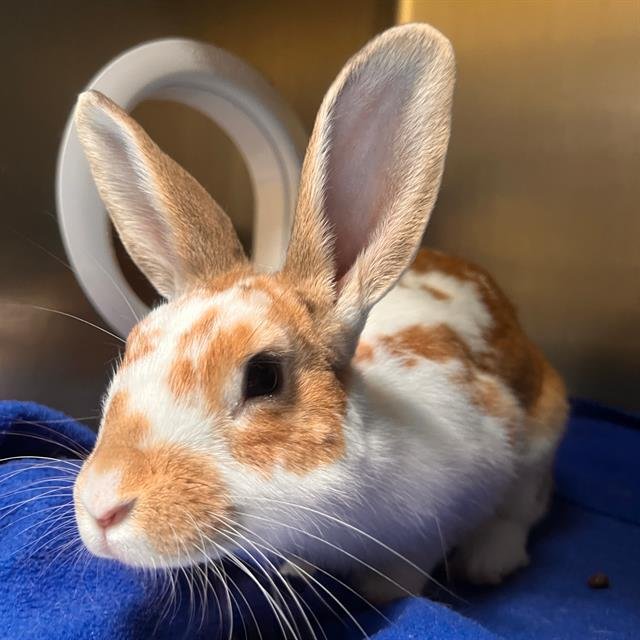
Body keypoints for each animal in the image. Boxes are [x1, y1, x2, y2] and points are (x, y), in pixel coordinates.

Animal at [72, 23, 568, 606]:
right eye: (132, 348)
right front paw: (299, 570)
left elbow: (410, 565)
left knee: (526, 505)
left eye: (263, 376)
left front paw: (381, 591)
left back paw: (489, 560)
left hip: (543, 431)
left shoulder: (461, 482)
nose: (101, 506)